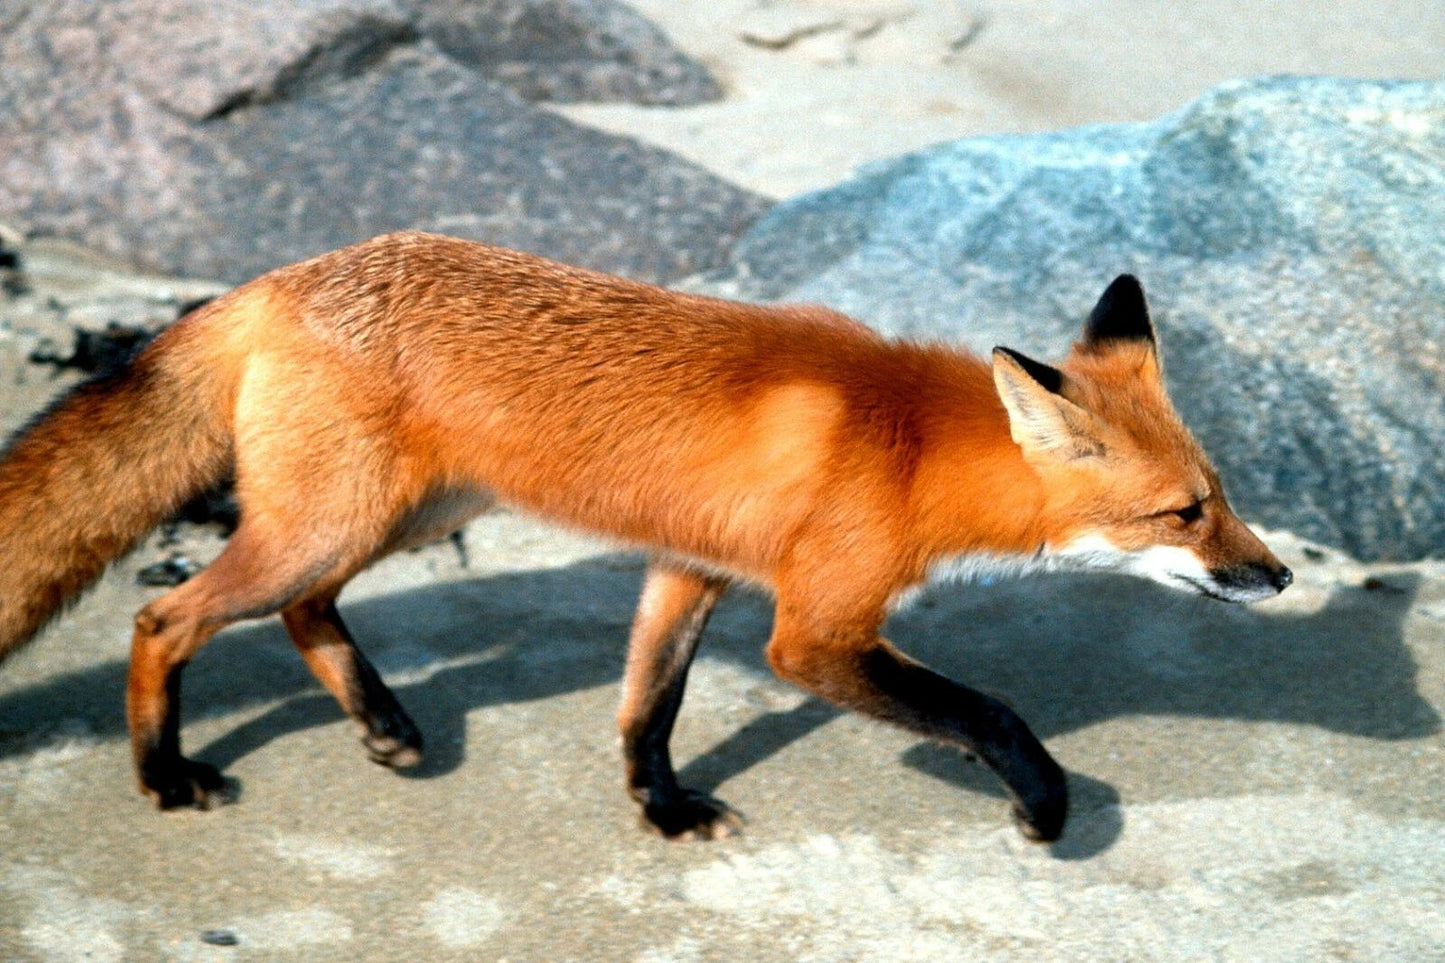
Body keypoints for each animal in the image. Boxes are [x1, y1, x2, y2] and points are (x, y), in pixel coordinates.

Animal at [0, 231, 1291, 842]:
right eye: (1183, 513)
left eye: (1222, 493)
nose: (1275, 575)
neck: (909, 444)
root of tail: (278, 277)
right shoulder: (813, 633)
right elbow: (991, 714)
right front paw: (1044, 808)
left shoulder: (694, 568)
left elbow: (646, 707)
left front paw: (660, 811)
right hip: (328, 525)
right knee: (165, 616)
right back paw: (163, 775)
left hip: (400, 519)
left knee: (302, 611)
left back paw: (386, 727)